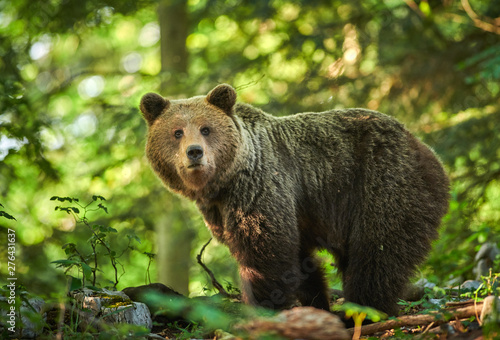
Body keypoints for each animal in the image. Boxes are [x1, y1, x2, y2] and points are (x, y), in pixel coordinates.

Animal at [140, 83, 450, 314]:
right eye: (176, 132)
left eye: (206, 128)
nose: (194, 152)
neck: (225, 183)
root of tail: (423, 147)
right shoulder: (222, 210)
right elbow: (299, 260)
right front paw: (315, 302)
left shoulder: (260, 187)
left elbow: (265, 253)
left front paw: (264, 305)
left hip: (382, 182)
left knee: (378, 251)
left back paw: (364, 308)